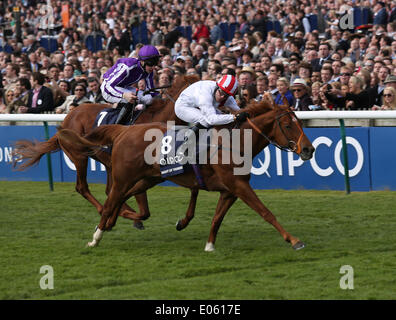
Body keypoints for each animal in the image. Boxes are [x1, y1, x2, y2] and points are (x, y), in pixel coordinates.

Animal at [13, 74, 200, 229]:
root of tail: (67, 119)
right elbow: (143, 211)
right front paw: (120, 216)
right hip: (79, 156)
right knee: (83, 187)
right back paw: (104, 210)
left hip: (108, 162)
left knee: (109, 190)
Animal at [56, 94, 316, 251]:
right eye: (288, 125)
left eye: (300, 122)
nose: (308, 149)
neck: (234, 142)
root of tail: (122, 130)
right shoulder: (239, 186)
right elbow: (265, 212)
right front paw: (294, 240)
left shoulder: (230, 190)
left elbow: (217, 218)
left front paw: (209, 245)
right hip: (124, 177)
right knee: (110, 199)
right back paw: (96, 237)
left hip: (148, 178)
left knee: (120, 200)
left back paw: (113, 222)